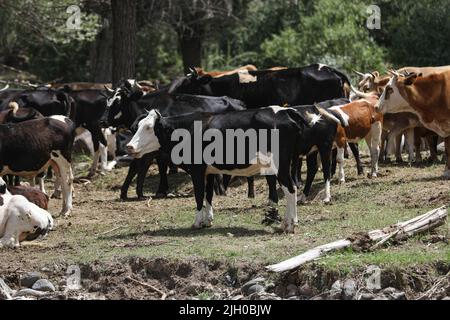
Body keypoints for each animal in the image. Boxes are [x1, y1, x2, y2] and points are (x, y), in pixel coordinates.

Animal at [126, 107, 310, 232]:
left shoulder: (197, 170)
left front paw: (197, 222)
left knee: (290, 189)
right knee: (292, 187)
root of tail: (286, 111)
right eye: (137, 126)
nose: (129, 146)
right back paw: (288, 222)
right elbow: (208, 195)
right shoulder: (210, 171)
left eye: (149, 127)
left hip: (280, 164)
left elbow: (198, 195)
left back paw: (290, 225)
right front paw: (208, 220)